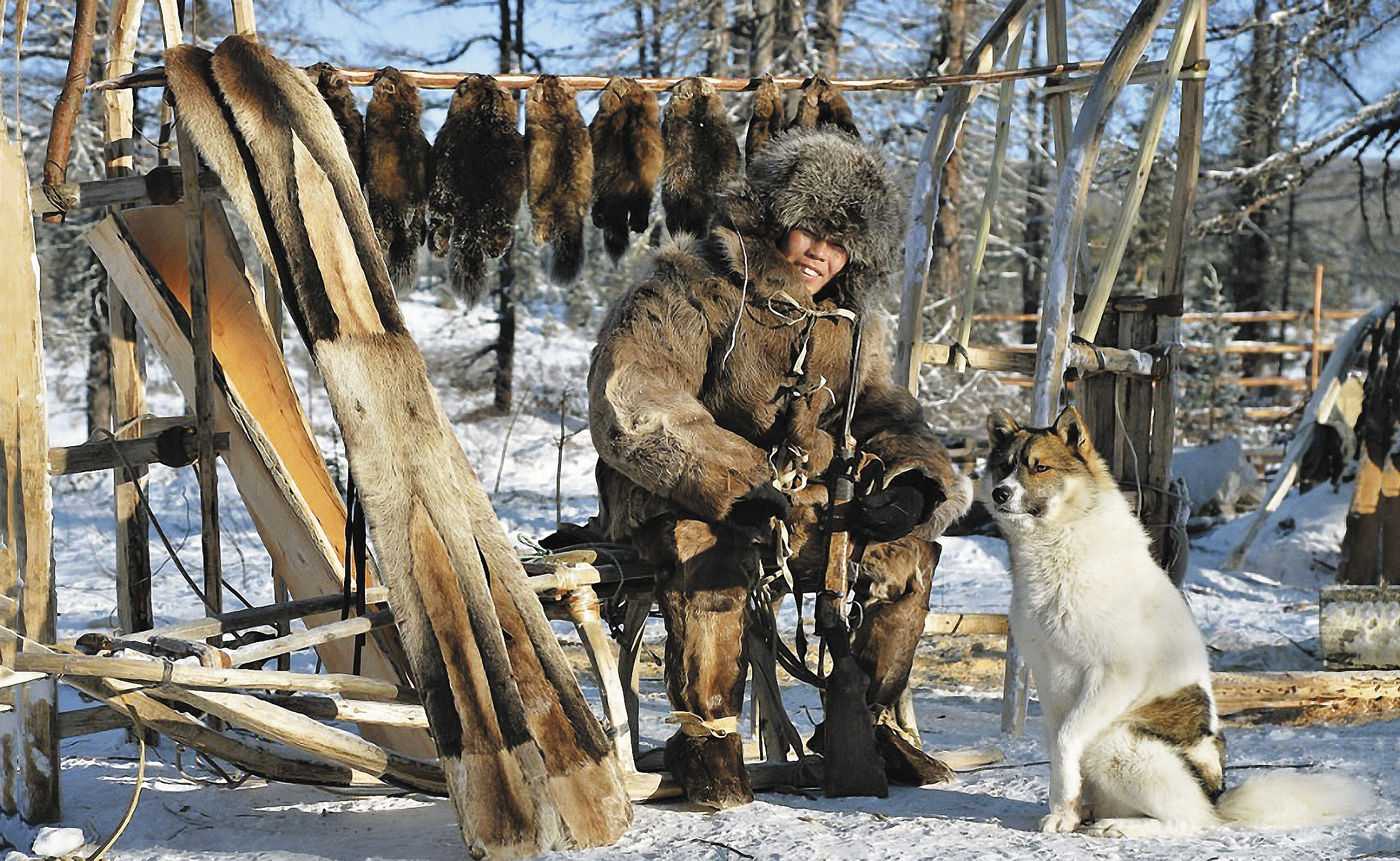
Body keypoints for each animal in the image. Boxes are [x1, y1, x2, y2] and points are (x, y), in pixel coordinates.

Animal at [985, 408, 1377, 840]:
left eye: (1040, 467)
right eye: (1004, 466)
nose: (1000, 493)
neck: (1060, 548)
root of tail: (1216, 797)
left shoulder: (1113, 676)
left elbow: (1067, 738)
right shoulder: (1049, 680)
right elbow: (1057, 750)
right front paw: (1064, 812)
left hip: (1116, 740)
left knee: (1190, 819)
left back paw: (1121, 826)